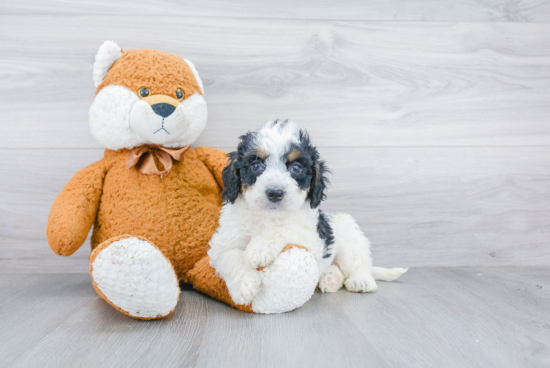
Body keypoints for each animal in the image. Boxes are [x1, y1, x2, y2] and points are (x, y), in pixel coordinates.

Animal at [209, 120, 408, 304]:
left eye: (296, 168)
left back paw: (361, 281)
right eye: (256, 165)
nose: (275, 193)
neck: (268, 217)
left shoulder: (310, 237)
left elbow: (282, 229)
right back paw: (330, 279)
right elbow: (229, 256)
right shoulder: (223, 242)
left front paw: (259, 248)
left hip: (347, 233)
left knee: (359, 263)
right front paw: (245, 285)